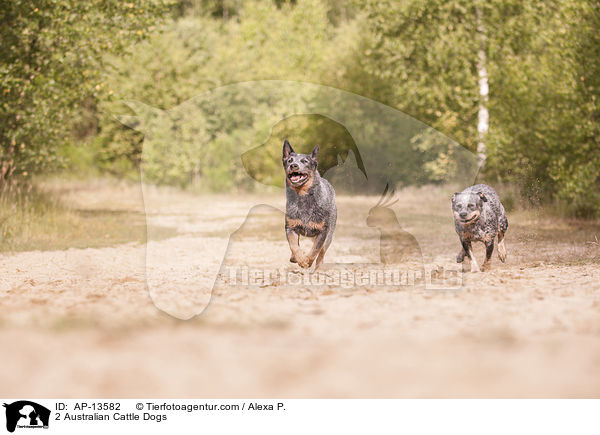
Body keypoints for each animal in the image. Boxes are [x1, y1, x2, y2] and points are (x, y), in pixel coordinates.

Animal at [282, 141, 336, 270]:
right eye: (289, 160)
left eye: (305, 161)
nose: (293, 165)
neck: (303, 197)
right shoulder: (290, 227)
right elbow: (294, 246)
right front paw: (300, 259)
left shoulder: (323, 231)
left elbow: (315, 250)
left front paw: (307, 261)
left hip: (329, 235)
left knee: (321, 253)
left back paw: (317, 270)